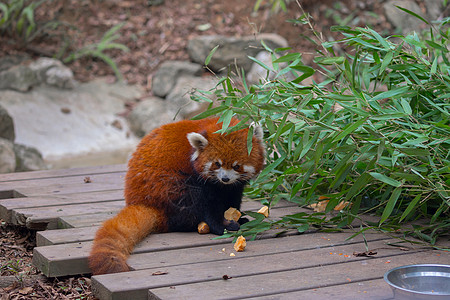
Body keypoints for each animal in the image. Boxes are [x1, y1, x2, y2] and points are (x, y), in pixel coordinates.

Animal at [88, 116, 264, 274]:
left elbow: (233, 198)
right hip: (170, 187)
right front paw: (222, 225)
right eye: (217, 164)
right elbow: (210, 205)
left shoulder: (233, 186)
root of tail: (145, 203)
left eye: (237, 166)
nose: (225, 178)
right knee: (191, 204)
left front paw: (238, 216)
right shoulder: (201, 179)